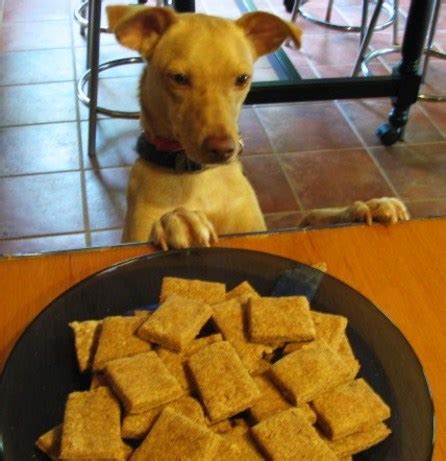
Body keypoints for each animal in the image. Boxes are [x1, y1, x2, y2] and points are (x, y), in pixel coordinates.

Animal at [106, 5, 410, 250]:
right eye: (178, 78)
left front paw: (364, 206)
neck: (198, 180)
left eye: (242, 79)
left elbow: (311, 217)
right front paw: (176, 220)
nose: (223, 150)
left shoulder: (263, 232)